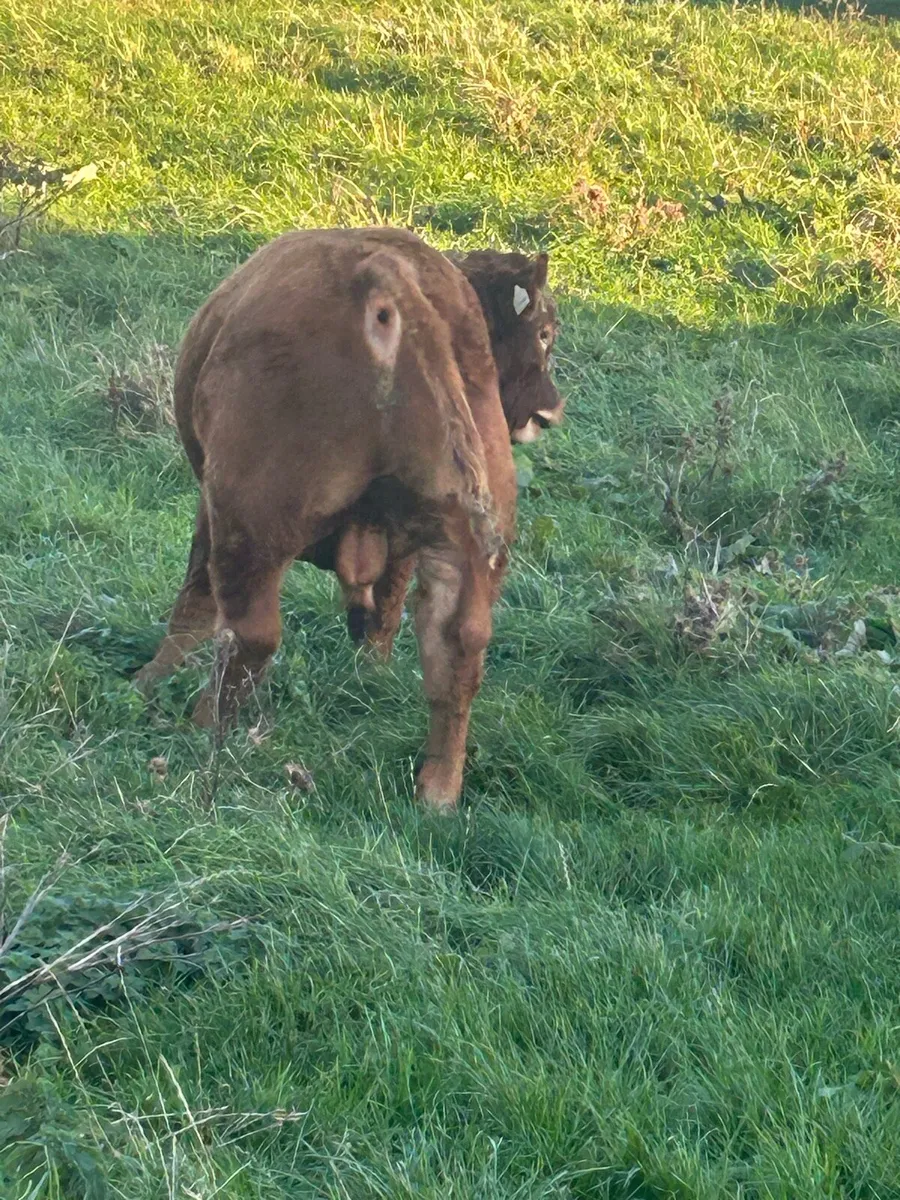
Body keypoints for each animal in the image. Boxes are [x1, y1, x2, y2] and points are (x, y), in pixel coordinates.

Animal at [134, 227, 563, 810]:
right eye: (544, 333)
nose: (550, 411)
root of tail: (390, 282)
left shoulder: (212, 504)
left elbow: (195, 598)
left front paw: (151, 678)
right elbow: (385, 611)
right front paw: (370, 676)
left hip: (252, 519)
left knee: (252, 633)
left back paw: (201, 730)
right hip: (464, 537)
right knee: (458, 643)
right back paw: (437, 792)